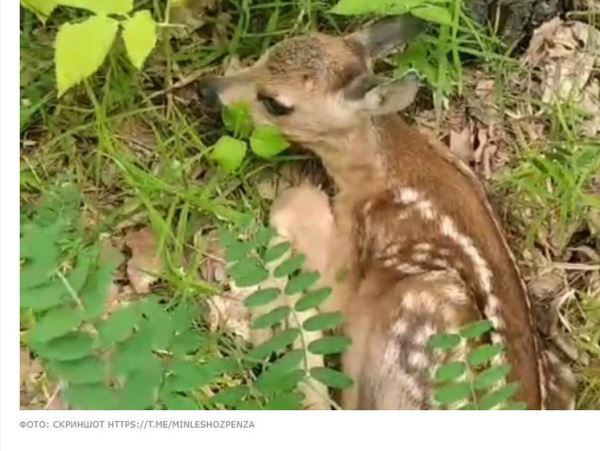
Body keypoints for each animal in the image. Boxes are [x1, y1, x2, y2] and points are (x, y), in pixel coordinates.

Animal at [203, 15, 576, 410]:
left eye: (275, 103)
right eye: (265, 54)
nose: (207, 90)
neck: (381, 167)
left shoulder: (350, 259)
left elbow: (294, 201)